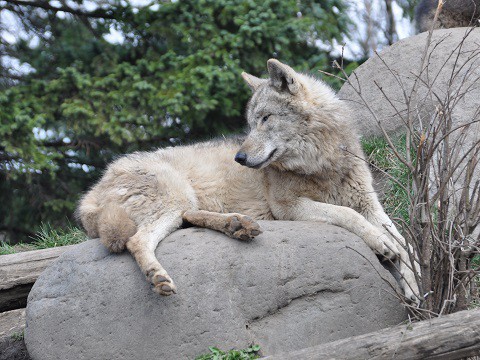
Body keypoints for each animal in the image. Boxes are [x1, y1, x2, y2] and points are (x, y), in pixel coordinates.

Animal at [76, 59, 420, 304]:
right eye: (250, 124)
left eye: (266, 119)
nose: (239, 158)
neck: (322, 164)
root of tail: (89, 197)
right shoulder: (287, 208)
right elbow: (349, 216)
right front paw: (381, 244)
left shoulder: (369, 203)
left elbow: (406, 243)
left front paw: (415, 285)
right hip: (175, 197)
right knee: (137, 240)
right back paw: (159, 275)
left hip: (180, 204)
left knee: (189, 218)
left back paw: (237, 225)